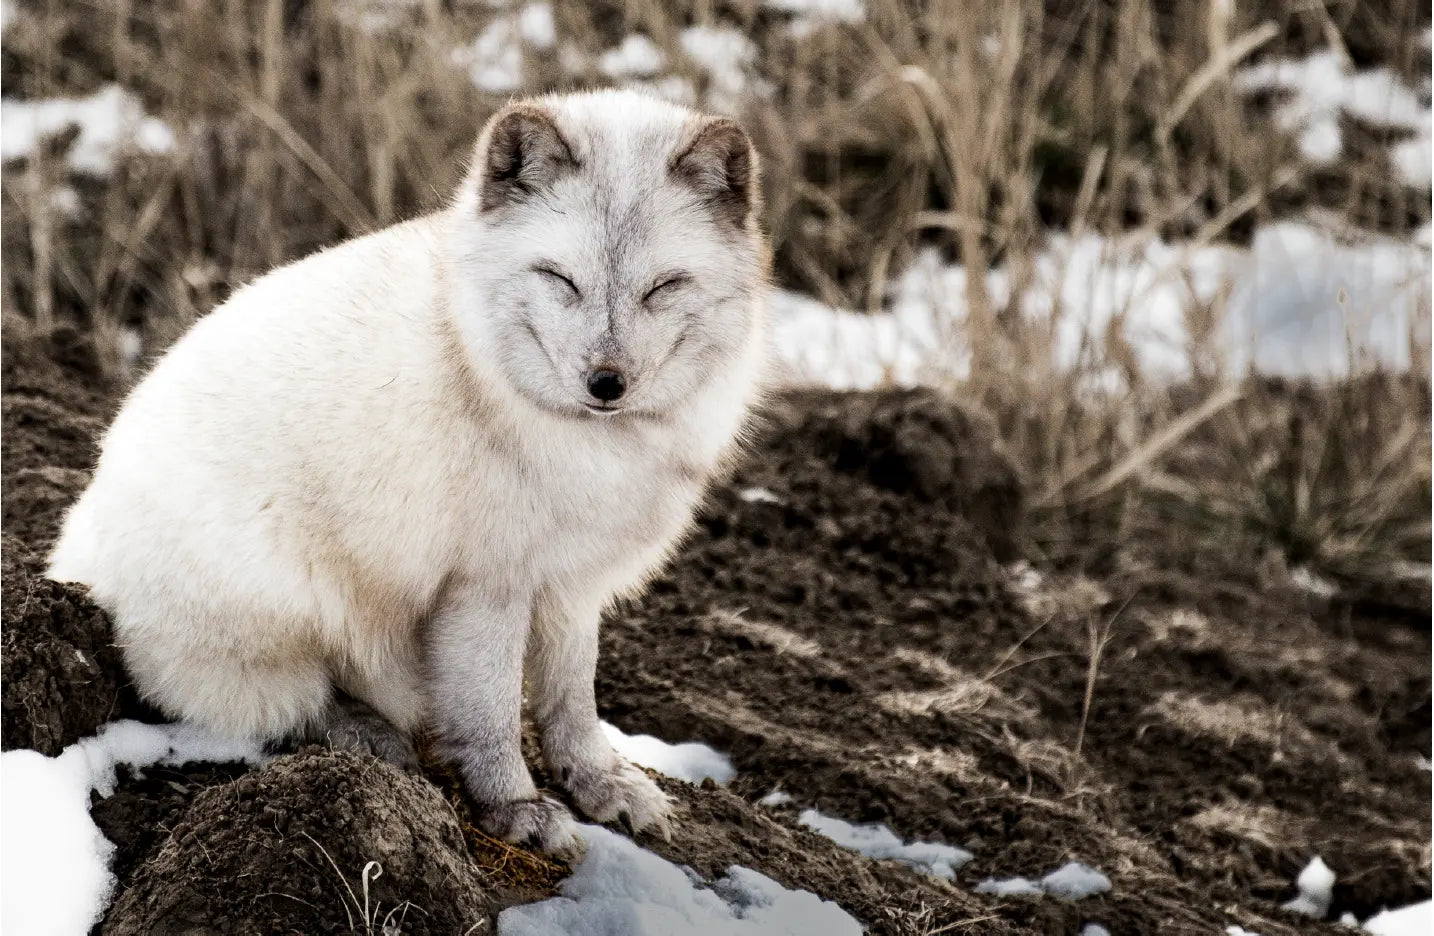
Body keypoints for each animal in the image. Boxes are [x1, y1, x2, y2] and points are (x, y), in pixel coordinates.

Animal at [46, 89, 769, 852]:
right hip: (288, 605)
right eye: (558, 278)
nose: (606, 383)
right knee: (278, 704)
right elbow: (490, 714)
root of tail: (69, 556)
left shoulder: (572, 584)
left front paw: (598, 783)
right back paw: (369, 737)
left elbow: (572, 703)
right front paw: (515, 807)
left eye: (664, 287)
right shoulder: (484, 586)